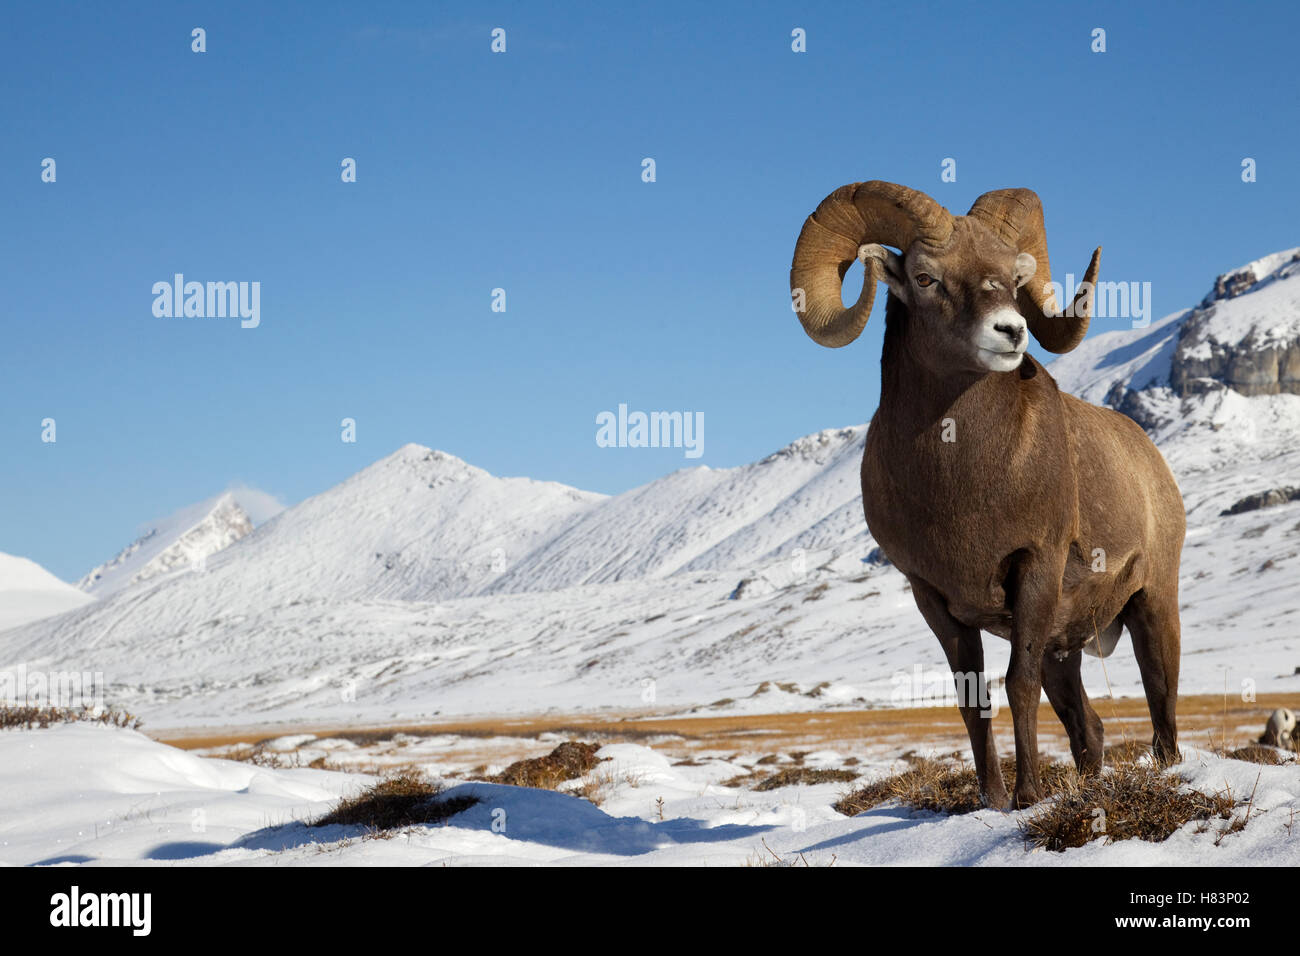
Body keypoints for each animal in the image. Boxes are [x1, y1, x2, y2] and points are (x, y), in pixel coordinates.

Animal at [790, 181, 1185, 809]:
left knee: (1163, 713)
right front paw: (992, 801)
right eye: (926, 277)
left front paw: (1026, 798)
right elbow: (973, 699)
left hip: (1152, 606)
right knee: (1089, 730)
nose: (1011, 332)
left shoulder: (1035, 570)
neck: (962, 484)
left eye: (1010, 277)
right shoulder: (933, 598)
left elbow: (1017, 685)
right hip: (1063, 647)